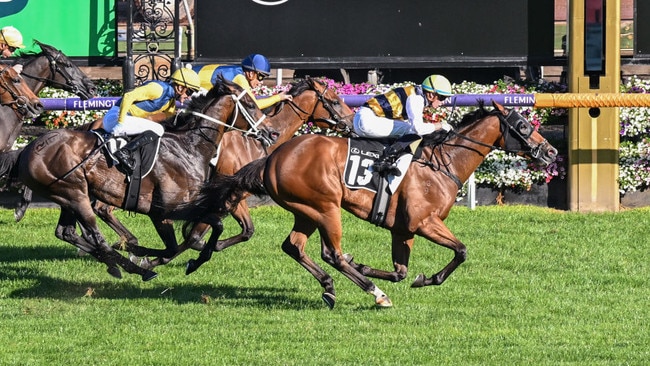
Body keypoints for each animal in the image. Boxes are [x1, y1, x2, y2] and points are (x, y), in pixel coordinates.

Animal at [0, 79, 274, 280]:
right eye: (249, 104)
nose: (271, 132)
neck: (190, 147)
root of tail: (28, 149)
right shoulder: (164, 210)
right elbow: (183, 241)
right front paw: (142, 255)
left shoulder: (195, 204)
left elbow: (208, 230)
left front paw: (188, 259)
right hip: (75, 195)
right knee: (96, 236)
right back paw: (133, 267)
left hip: (68, 196)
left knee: (66, 232)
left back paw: (117, 262)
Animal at [184, 101, 556, 308]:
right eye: (523, 126)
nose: (551, 151)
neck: (442, 163)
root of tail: (273, 157)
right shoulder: (424, 223)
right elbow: (461, 251)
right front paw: (425, 278)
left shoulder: (403, 229)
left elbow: (401, 271)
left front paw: (373, 268)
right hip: (325, 207)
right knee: (330, 253)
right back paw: (375, 294)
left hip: (305, 210)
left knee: (294, 247)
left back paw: (331, 287)